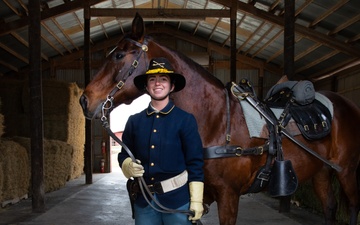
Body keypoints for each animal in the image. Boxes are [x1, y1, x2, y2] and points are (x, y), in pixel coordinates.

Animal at [80, 14, 360, 225]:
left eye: (119, 56)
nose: (85, 100)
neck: (215, 120)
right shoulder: (199, 196)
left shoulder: (228, 196)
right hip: (321, 172)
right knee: (330, 207)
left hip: (346, 172)